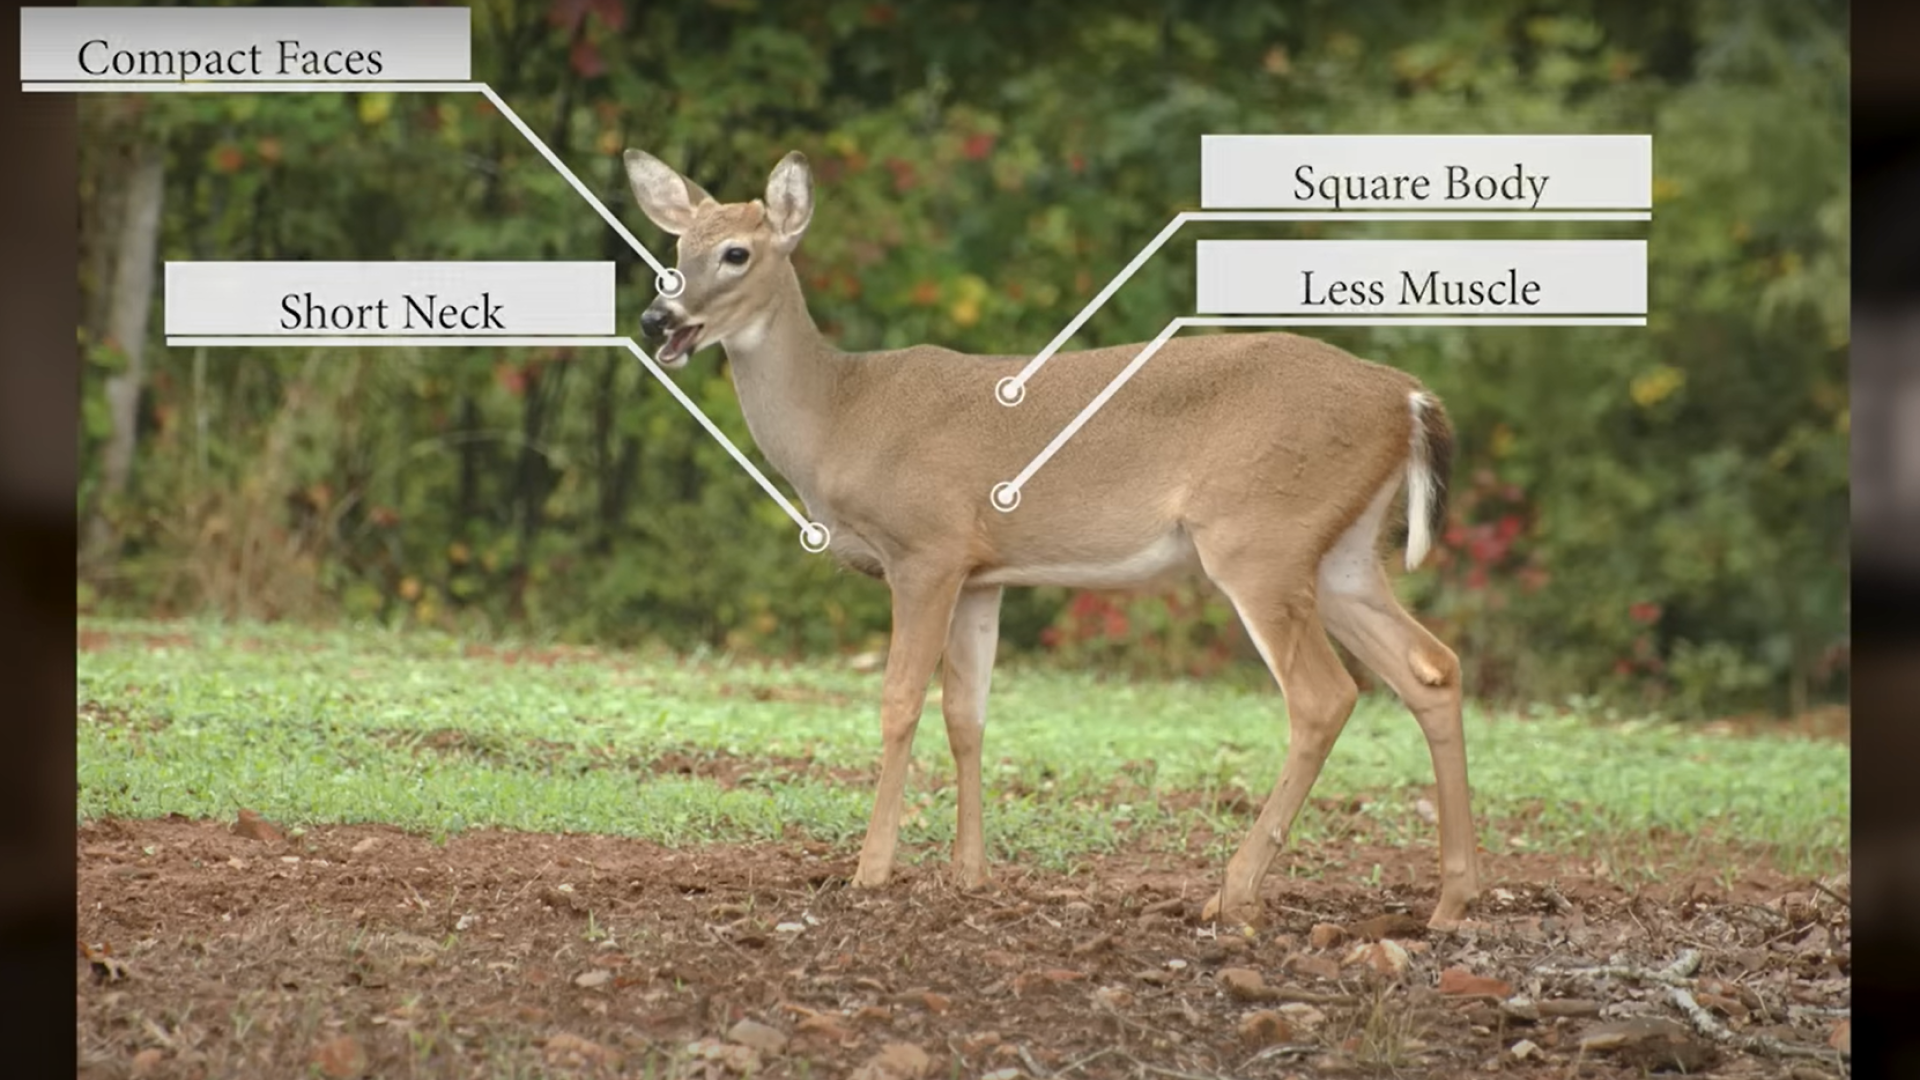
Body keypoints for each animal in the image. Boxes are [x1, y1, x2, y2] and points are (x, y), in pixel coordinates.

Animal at [621, 148, 1480, 931]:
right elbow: (967, 715)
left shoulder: (926, 548)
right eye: (674, 250)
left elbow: (899, 702)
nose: (657, 320)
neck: (838, 416)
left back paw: (1233, 893)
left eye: (736, 252)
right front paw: (969, 874)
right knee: (1432, 668)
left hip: (1259, 537)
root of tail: (1409, 398)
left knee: (1324, 695)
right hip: (1342, 553)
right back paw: (1449, 902)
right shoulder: (983, 573)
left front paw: (871, 870)